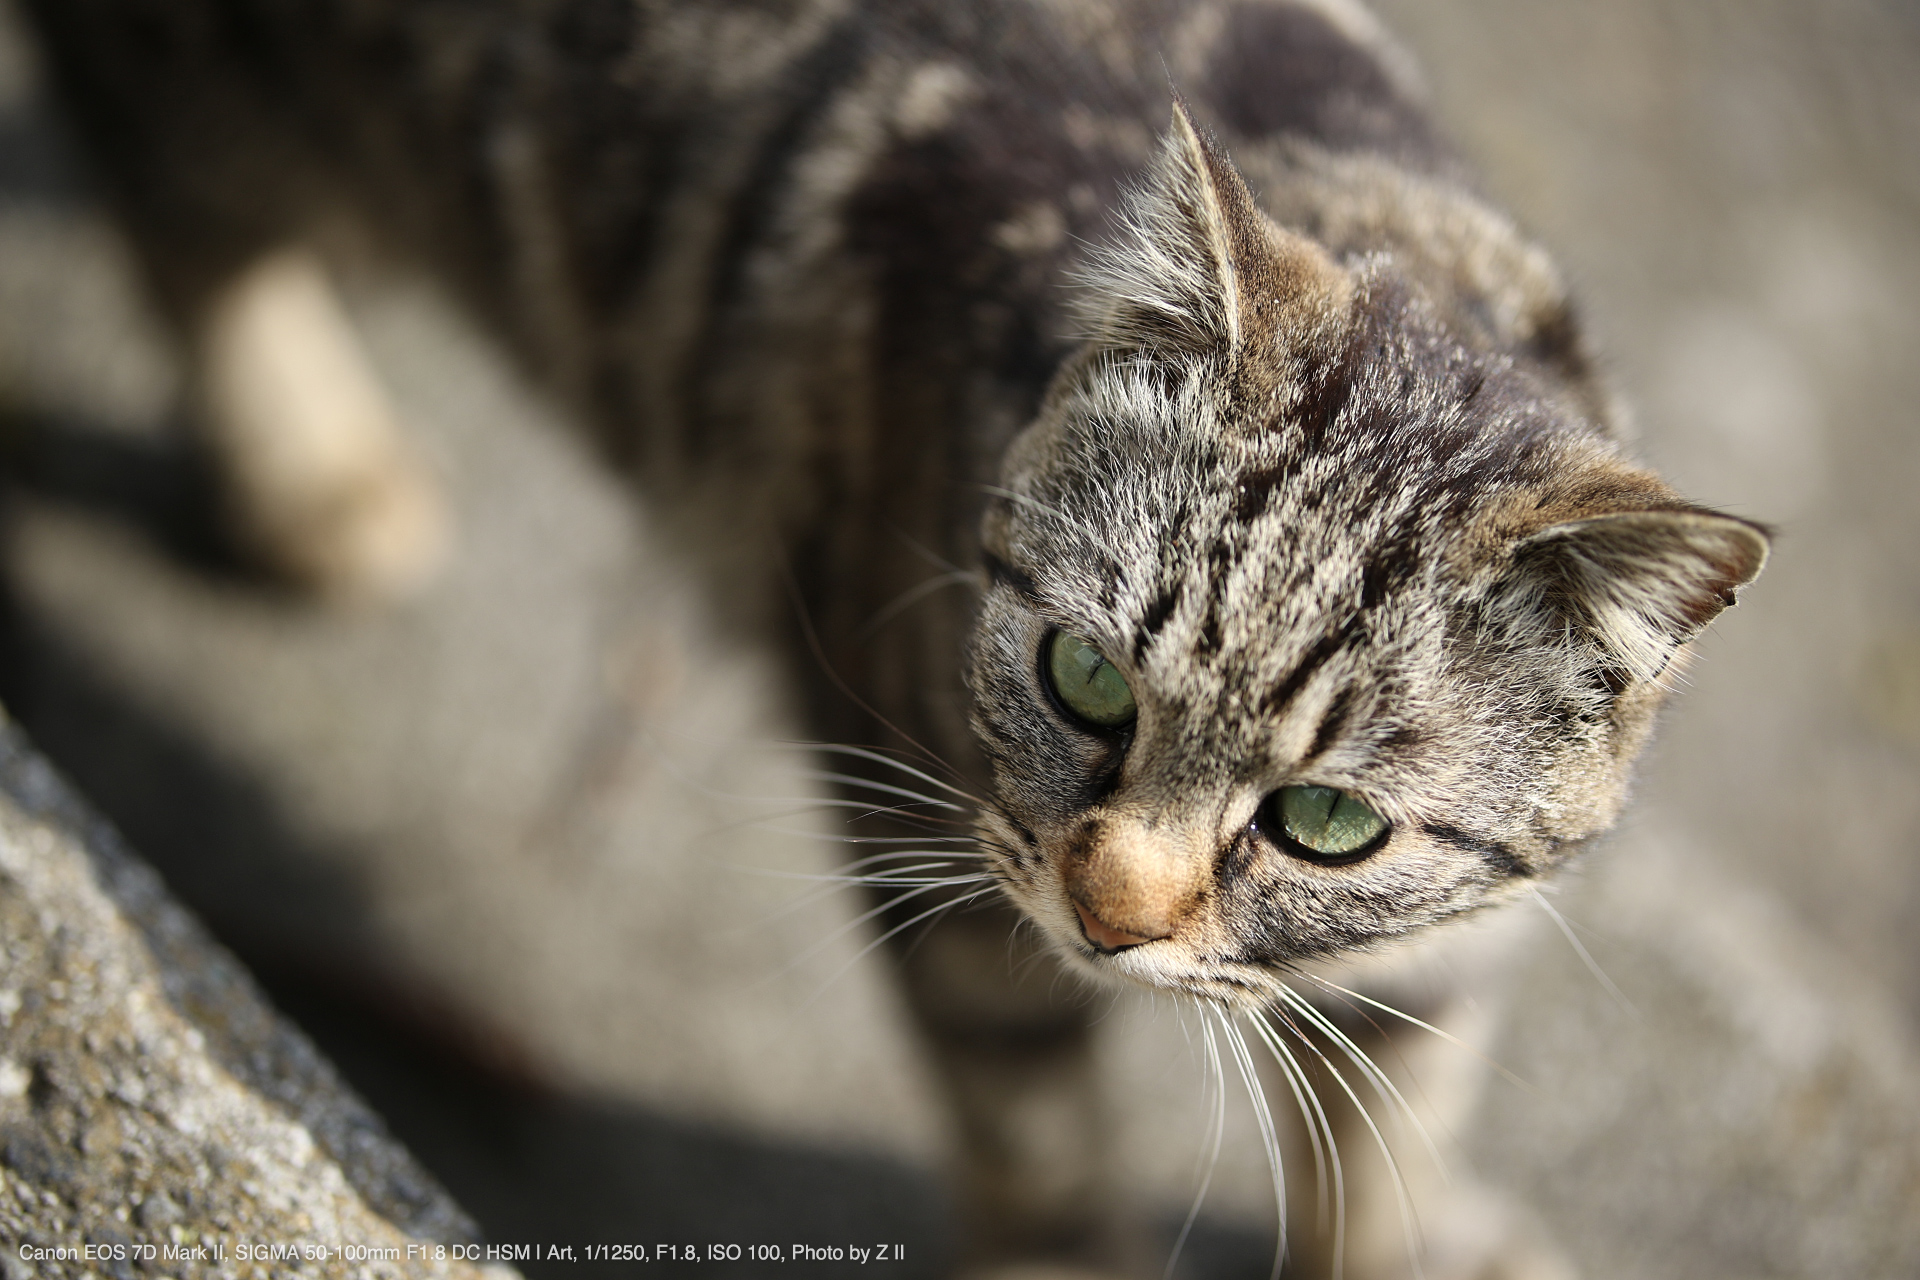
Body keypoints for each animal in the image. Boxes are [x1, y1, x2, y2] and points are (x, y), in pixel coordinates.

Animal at [18, 2, 1766, 1280]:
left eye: (1327, 822)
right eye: (1084, 677)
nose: (1110, 916)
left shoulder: (1441, 974)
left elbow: (1390, 1156)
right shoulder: (940, 850)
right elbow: (1041, 1161)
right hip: (230, 91)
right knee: (183, 213)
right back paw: (314, 473)